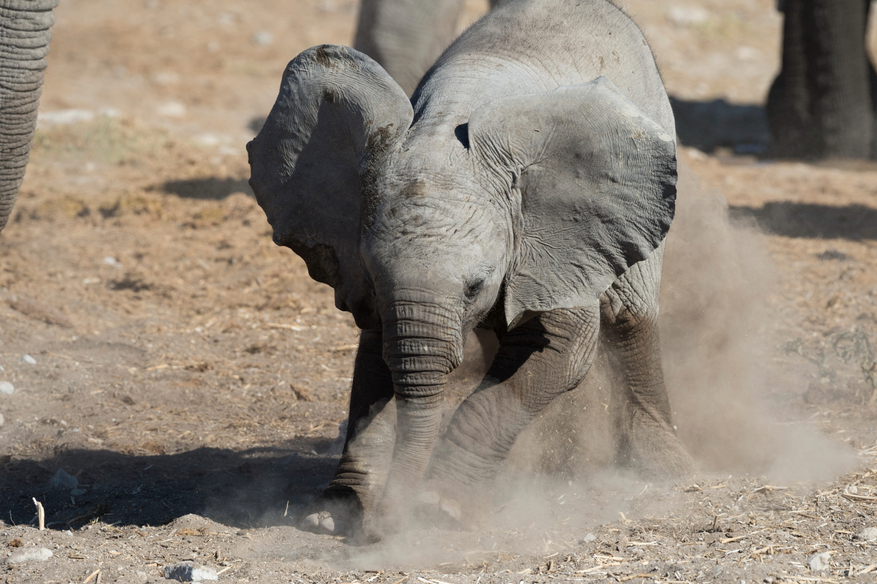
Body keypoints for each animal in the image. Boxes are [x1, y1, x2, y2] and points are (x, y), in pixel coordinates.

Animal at [246, 0, 692, 540]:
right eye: (372, 277)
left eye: (475, 285)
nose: (383, 529)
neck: (445, 125)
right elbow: (373, 363)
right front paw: (332, 515)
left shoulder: (552, 245)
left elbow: (561, 349)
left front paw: (439, 511)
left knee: (630, 316)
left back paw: (658, 471)